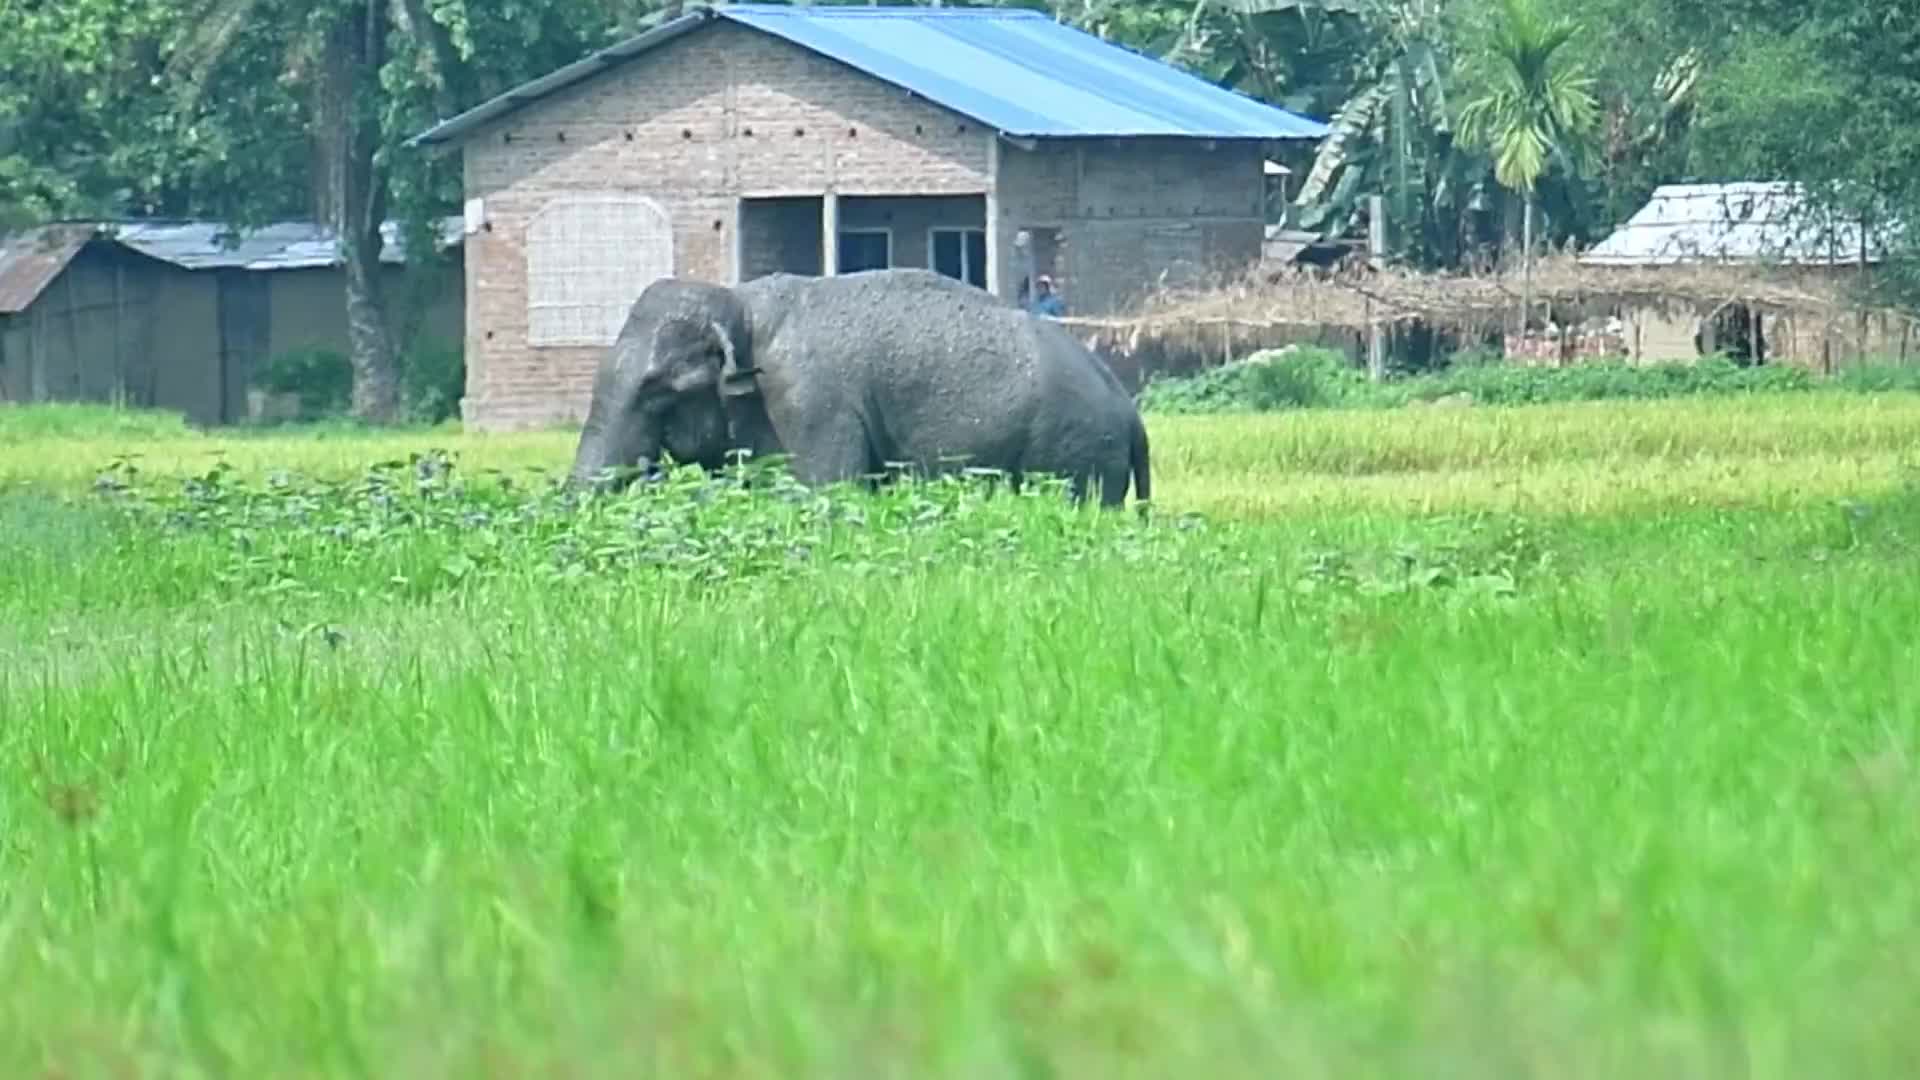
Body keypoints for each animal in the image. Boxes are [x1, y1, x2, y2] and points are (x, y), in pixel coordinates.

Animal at [567, 267, 1151, 508]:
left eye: (657, 390)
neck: (740, 305)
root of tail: (1130, 412)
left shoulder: (811, 406)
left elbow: (825, 490)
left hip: (1072, 454)